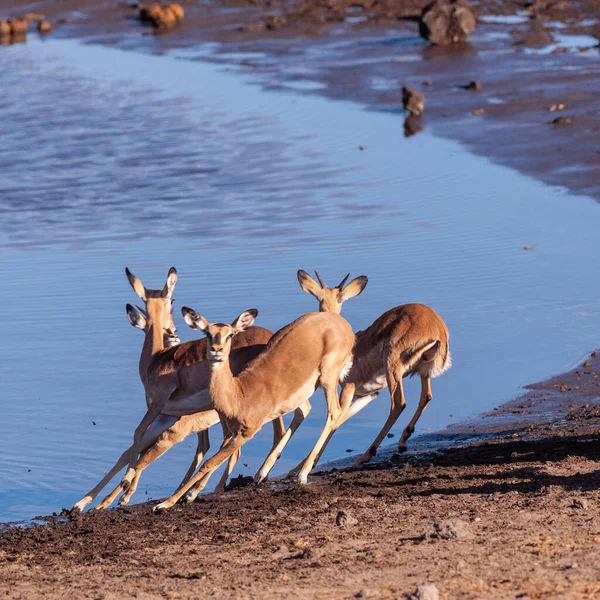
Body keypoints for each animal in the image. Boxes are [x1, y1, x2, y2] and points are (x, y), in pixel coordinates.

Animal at [74, 268, 282, 510]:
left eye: (172, 301)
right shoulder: (167, 416)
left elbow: (138, 438)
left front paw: (121, 491)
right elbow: (134, 449)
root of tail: (270, 336)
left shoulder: (160, 404)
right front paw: (85, 503)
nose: (172, 331)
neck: (155, 359)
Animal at [152, 310, 354, 510]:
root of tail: (343, 324)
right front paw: (186, 496)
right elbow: (216, 459)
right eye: (207, 333)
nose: (216, 350)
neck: (240, 394)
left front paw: (166, 503)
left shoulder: (246, 433)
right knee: (306, 412)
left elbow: (209, 462)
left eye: (230, 334)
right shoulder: (234, 432)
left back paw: (301, 475)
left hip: (328, 378)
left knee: (334, 413)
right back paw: (262, 473)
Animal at [296, 272, 450, 474]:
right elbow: (339, 420)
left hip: (393, 366)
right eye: (320, 298)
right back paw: (402, 441)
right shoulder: (367, 394)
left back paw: (364, 456)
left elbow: (335, 418)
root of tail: (438, 330)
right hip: (423, 372)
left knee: (398, 404)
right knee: (426, 396)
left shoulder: (348, 387)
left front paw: (301, 469)